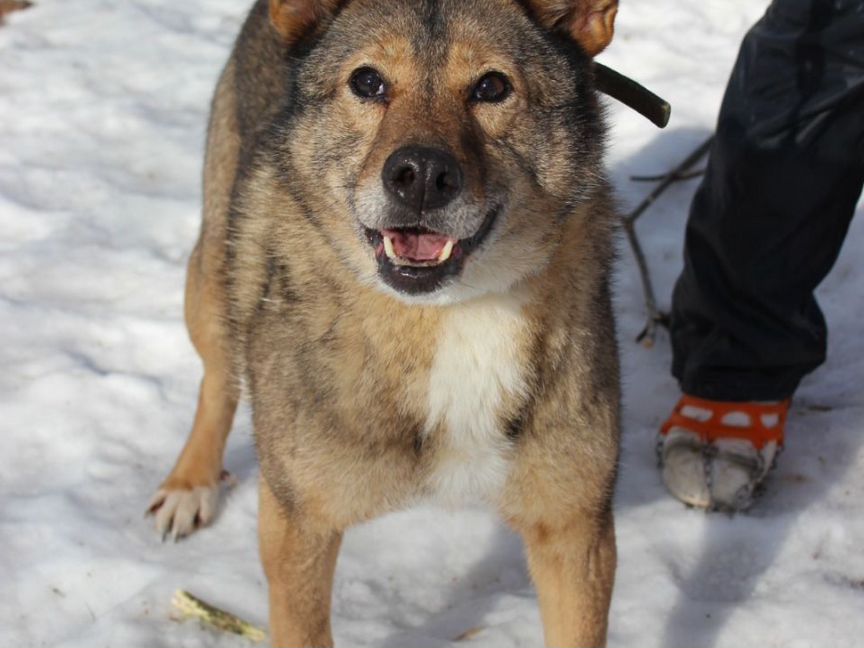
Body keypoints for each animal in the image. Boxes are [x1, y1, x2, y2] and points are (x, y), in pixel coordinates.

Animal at [148, 2, 620, 644]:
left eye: (492, 87)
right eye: (367, 82)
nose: (420, 174)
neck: (448, 314)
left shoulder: (575, 529)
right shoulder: (297, 528)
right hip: (216, 268)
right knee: (219, 375)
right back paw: (190, 481)